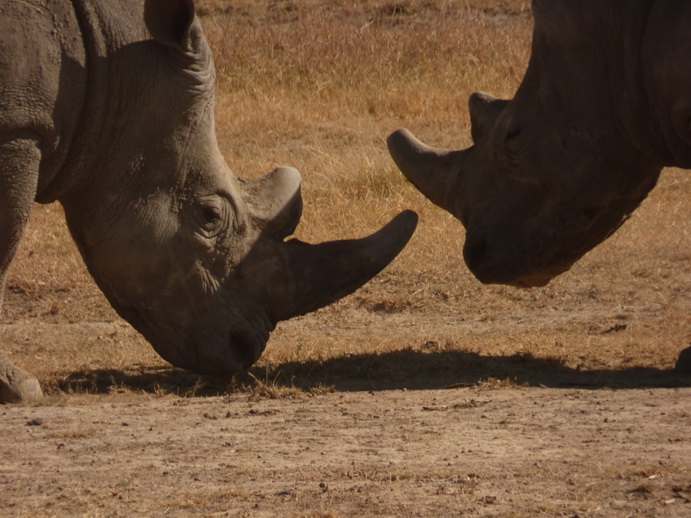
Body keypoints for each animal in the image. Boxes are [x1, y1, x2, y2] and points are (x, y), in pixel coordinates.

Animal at [0, 0, 418, 404]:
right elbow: (5, 251)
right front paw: (20, 389)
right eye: (210, 215)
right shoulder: (18, 128)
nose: (246, 348)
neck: (108, 73)